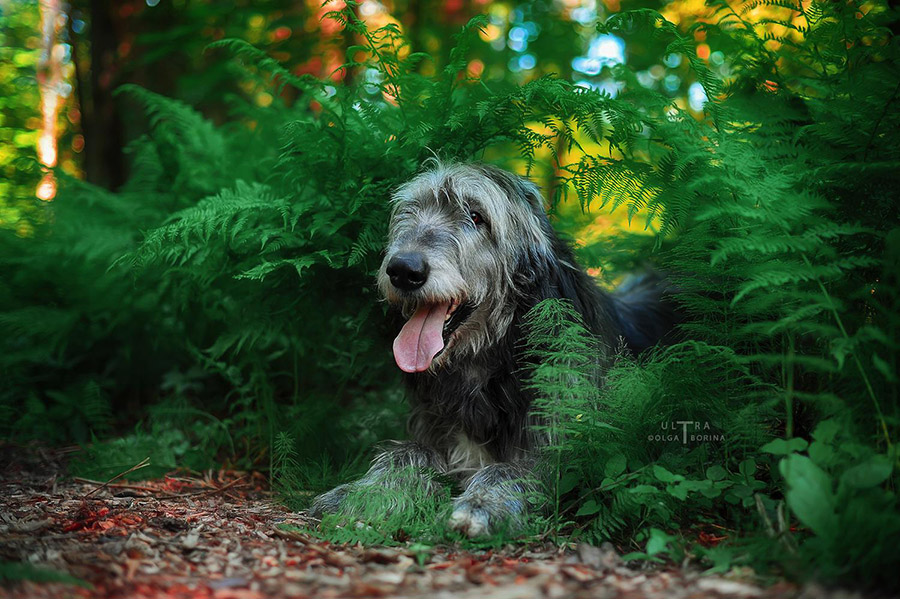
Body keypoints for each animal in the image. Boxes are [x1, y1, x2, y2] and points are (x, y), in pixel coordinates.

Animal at [310, 161, 676, 540]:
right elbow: (411, 450)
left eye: (477, 216)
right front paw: (363, 492)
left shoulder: (569, 450)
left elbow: (517, 469)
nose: (403, 269)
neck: (482, 368)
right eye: (410, 210)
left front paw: (482, 503)